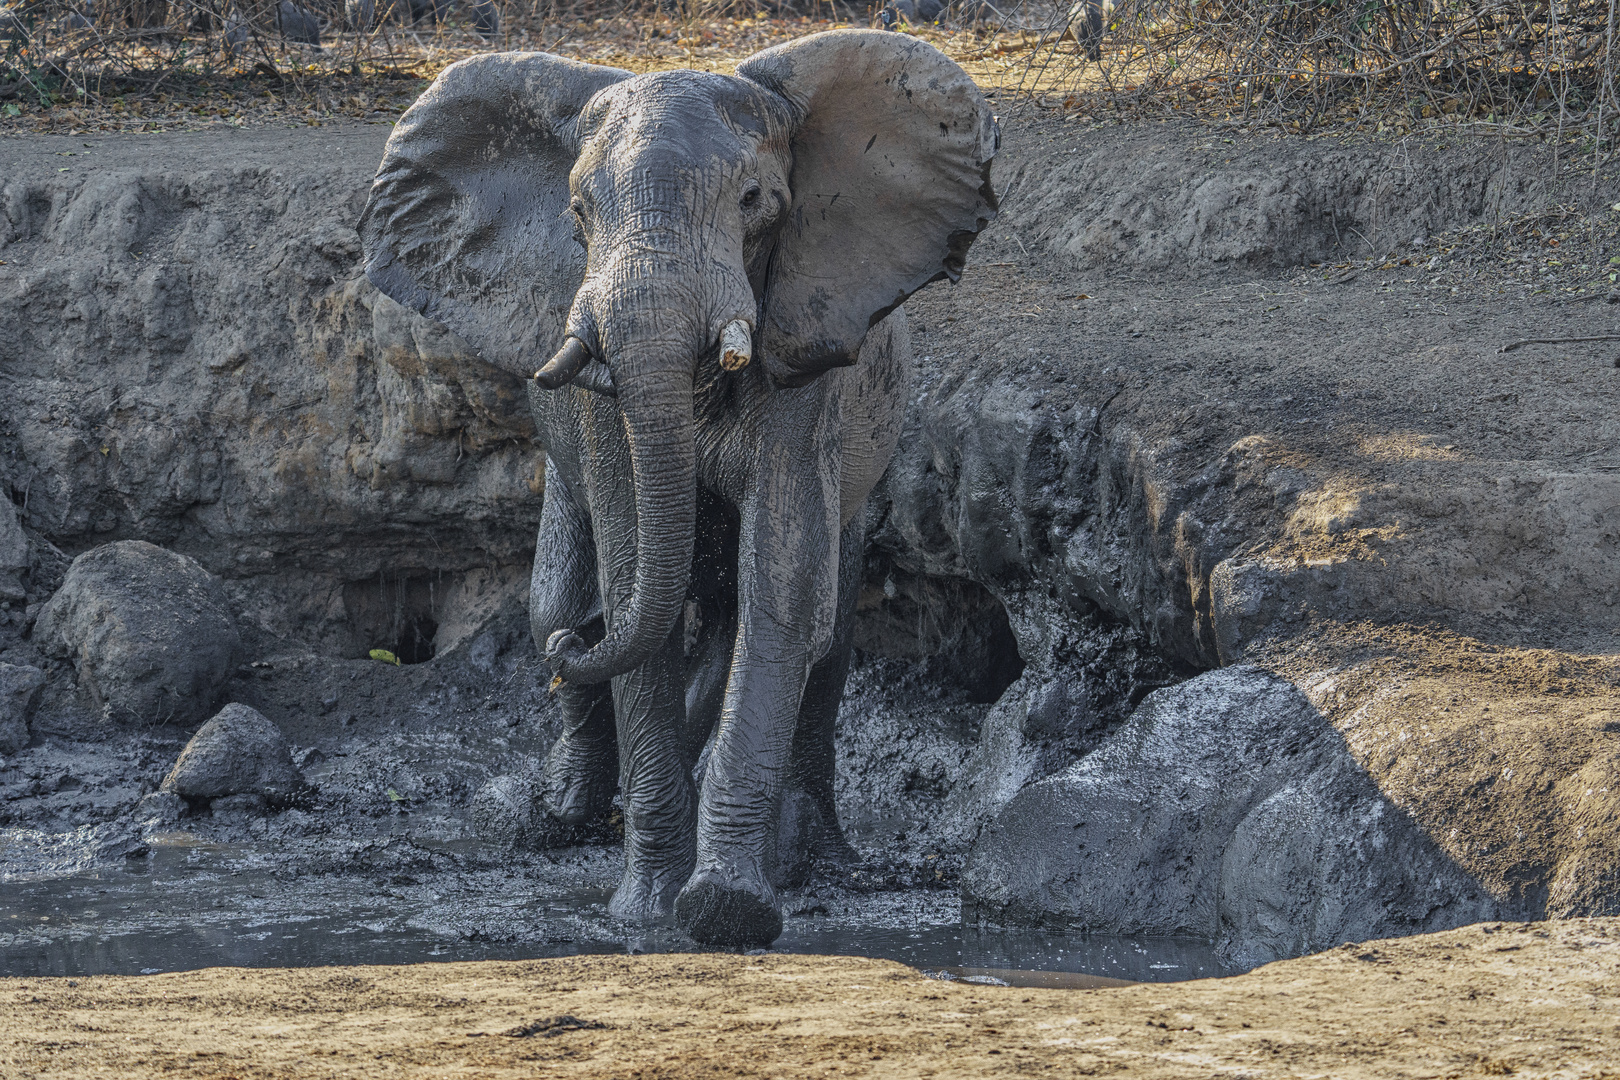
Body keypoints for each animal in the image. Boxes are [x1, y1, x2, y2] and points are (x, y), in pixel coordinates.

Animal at [362, 29, 997, 945]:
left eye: (755, 201)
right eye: (579, 213)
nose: (573, 652)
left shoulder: (804, 363)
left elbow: (781, 598)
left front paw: (727, 907)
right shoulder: (600, 407)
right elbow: (635, 586)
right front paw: (647, 910)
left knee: (822, 626)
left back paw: (804, 855)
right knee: (557, 604)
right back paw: (566, 805)